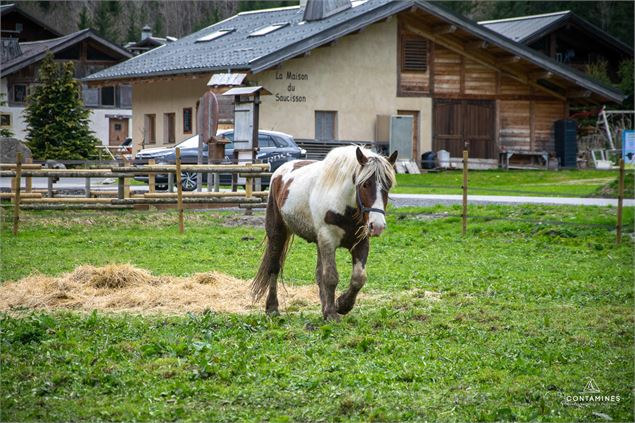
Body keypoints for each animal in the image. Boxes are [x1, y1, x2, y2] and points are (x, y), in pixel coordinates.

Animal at [252, 147, 398, 322]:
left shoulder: (360, 242)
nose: (377, 226)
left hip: (318, 242)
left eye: (387, 186)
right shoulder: (328, 240)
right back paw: (272, 308)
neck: (345, 207)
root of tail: (279, 172)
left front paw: (342, 305)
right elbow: (330, 277)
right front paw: (332, 313)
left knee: (318, 274)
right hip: (277, 232)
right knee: (274, 267)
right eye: (365, 184)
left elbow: (358, 278)